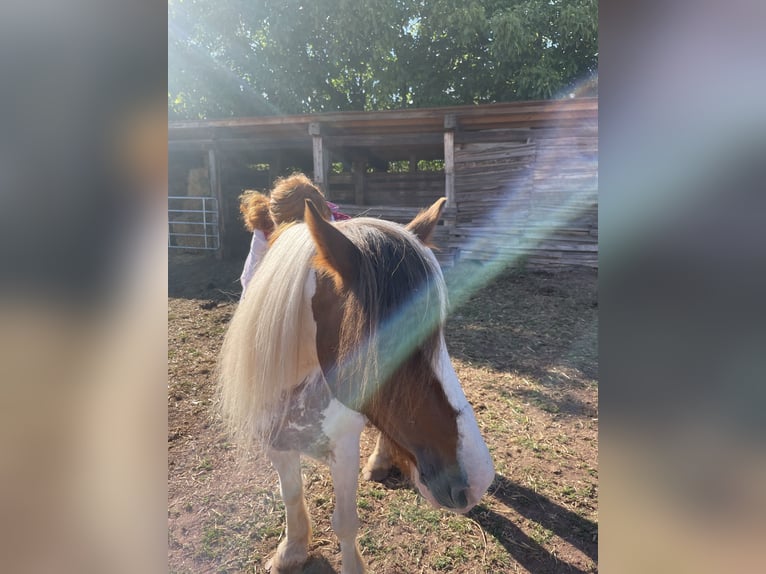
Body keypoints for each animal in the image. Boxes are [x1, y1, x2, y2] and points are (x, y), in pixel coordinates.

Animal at [220, 199, 498, 574]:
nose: (479, 479)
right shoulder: (276, 443)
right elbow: (290, 495)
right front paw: (292, 551)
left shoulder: (345, 449)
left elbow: (345, 522)